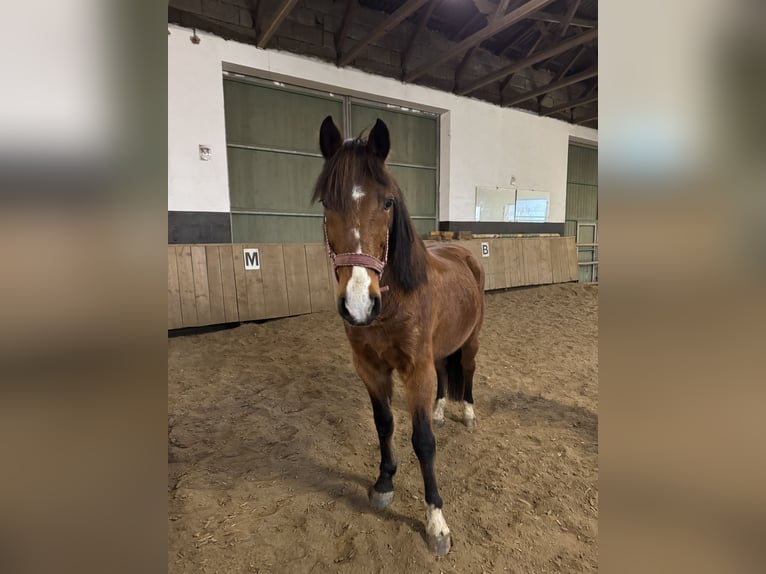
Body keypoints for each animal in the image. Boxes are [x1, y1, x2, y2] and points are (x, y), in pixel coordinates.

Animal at [313, 116, 485, 555]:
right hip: (439, 352)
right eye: (326, 203)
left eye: (388, 202)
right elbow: (384, 424)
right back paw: (441, 411)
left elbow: (422, 441)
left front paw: (436, 522)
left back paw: (467, 414)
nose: (358, 303)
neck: (394, 300)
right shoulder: (371, 369)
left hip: (471, 342)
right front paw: (384, 483)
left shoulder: (415, 370)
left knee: (467, 372)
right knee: (444, 376)